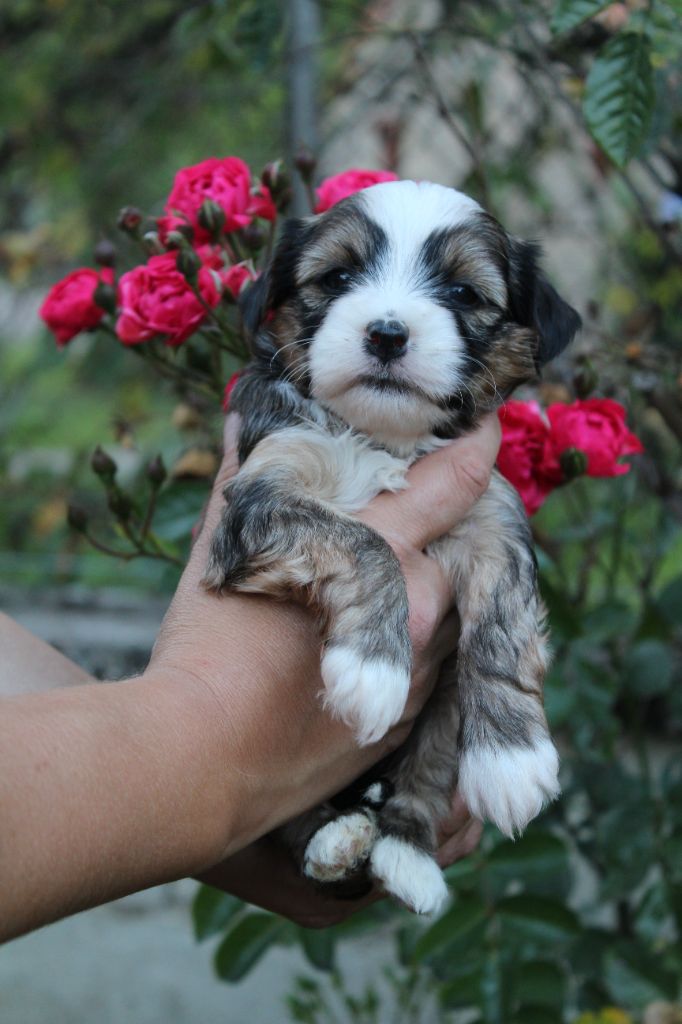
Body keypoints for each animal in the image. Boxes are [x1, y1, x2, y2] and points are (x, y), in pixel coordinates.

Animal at [201, 180, 577, 917]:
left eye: (462, 293)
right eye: (337, 279)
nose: (387, 333)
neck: (384, 439)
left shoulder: (491, 514)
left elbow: (504, 619)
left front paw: (513, 758)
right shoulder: (262, 493)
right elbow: (365, 540)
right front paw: (374, 669)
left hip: (442, 702)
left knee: (426, 768)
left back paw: (406, 851)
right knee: (287, 816)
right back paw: (333, 839)